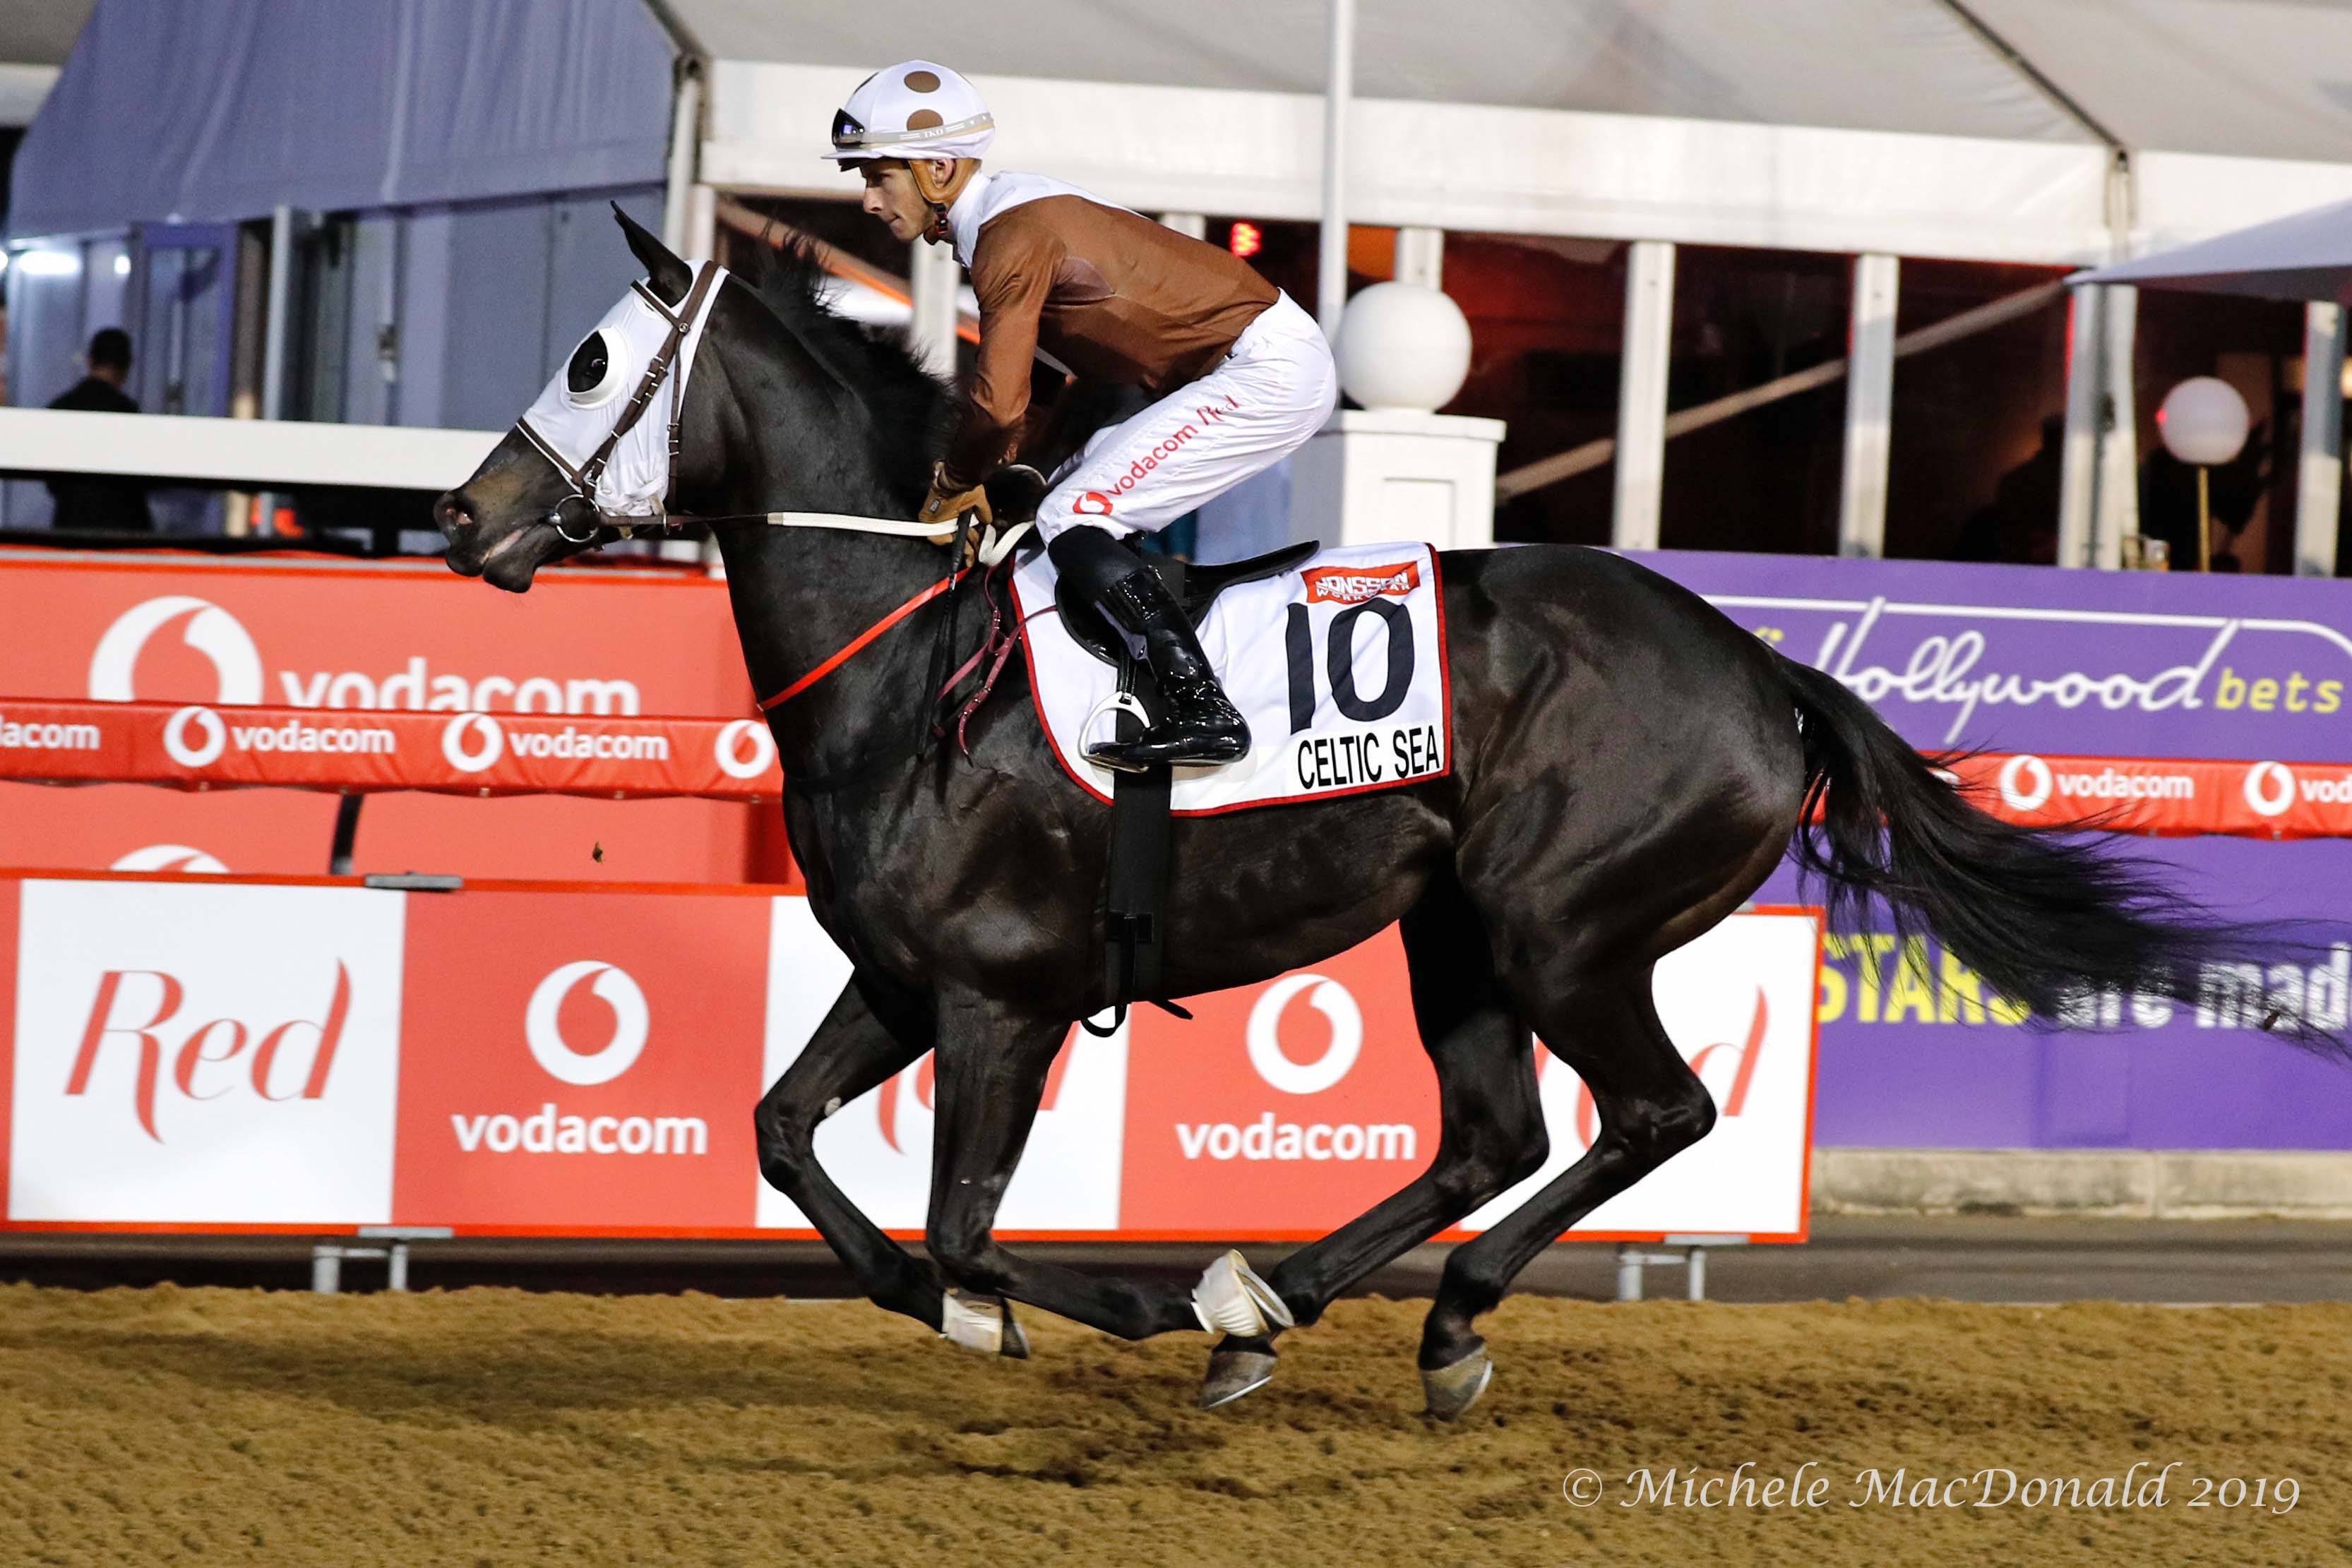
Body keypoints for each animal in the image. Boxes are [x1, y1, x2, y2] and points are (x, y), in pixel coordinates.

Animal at [442, 217, 2333, 1420]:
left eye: (594, 356)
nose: (464, 518)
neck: (913, 658)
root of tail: (1760, 668)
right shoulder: (903, 980)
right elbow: (788, 1144)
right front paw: (995, 1318)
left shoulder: (1002, 993)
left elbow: (963, 1222)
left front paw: (1121, 1299)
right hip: (1456, 934)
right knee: (1494, 1133)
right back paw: (1281, 1302)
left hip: (1560, 925)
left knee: (1650, 1109)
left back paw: (1353, 1310)